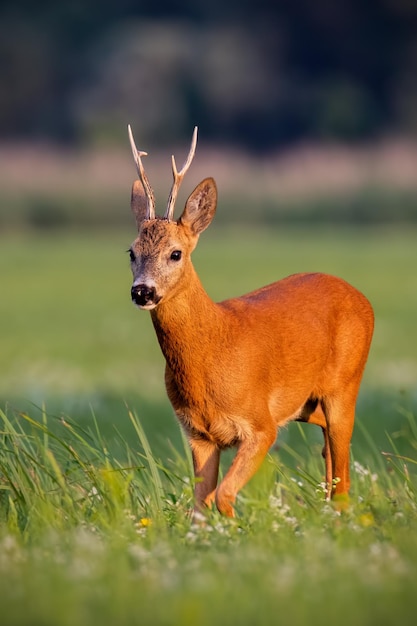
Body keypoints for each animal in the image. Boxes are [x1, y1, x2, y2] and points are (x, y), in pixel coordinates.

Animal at [127, 124, 374, 516]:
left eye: (175, 253)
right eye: (132, 252)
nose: (143, 291)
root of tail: (362, 298)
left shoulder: (260, 425)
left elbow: (224, 495)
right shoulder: (197, 433)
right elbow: (200, 505)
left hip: (346, 384)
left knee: (344, 479)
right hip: (306, 402)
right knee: (330, 455)